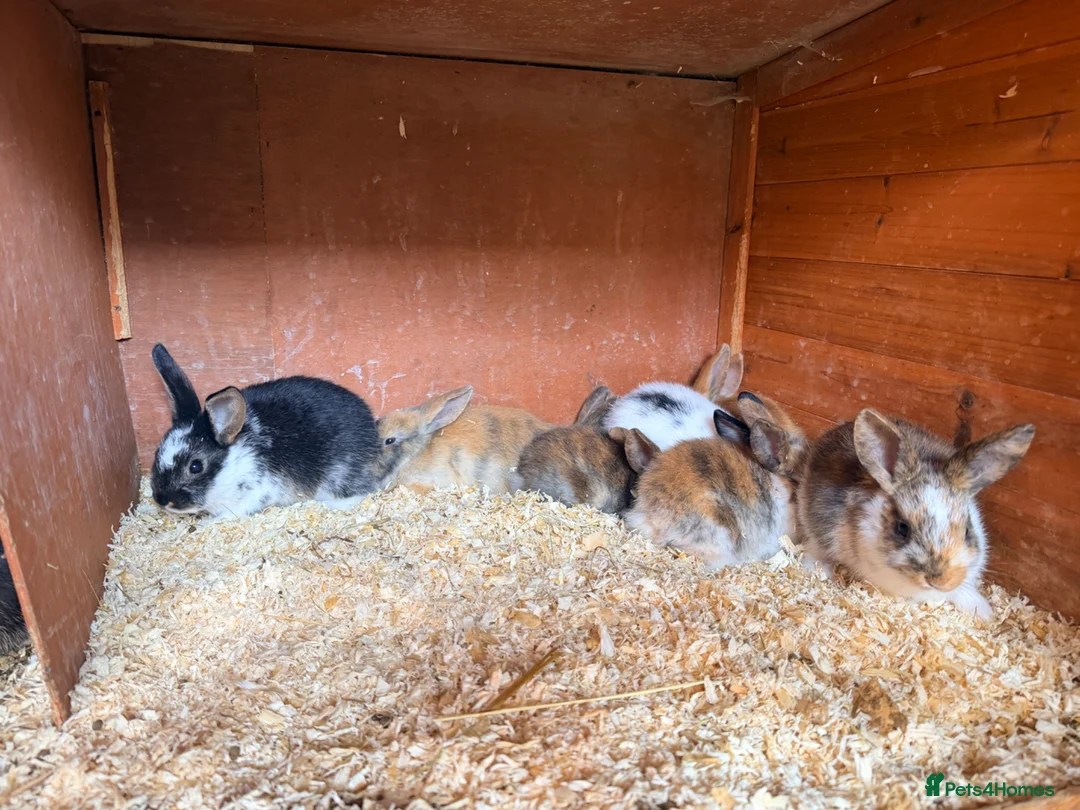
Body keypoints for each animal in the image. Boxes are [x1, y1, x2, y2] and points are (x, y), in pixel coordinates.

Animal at [150, 344, 380, 517]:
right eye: (156, 453)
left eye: (196, 466)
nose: (162, 500)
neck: (232, 464)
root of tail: (371, 426)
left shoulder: (258, 491)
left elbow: (232, 514)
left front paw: (205, 524)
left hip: (339, 476)